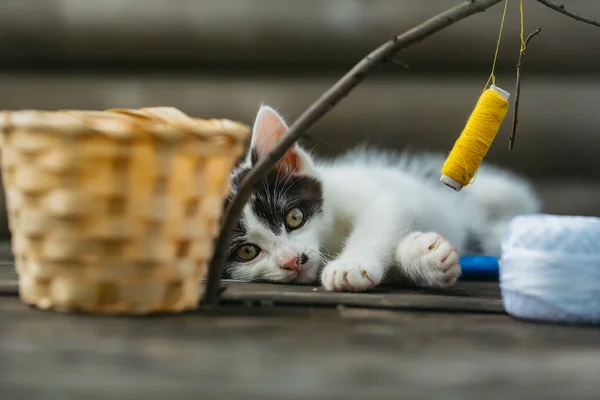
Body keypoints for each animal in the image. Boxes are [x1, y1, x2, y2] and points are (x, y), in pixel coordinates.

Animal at [223, 104, 540, 292]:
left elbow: (381, 216)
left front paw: (350, 266)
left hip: (501, 191)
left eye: (294, 217)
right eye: (247, 251)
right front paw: (425, 258)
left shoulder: (364, 191)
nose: (292, 260)